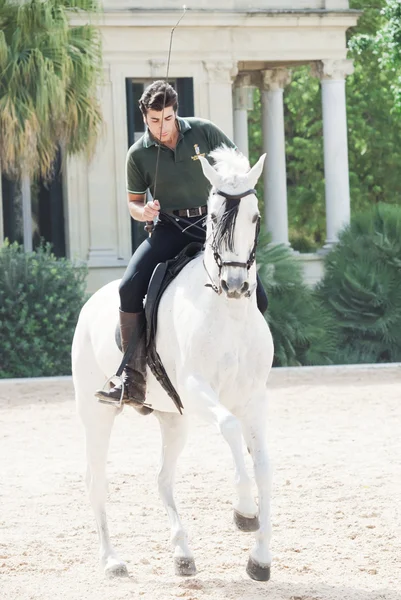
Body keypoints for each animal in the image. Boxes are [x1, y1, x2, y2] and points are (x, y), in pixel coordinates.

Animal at [70, 146, 274, 580]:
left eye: (255, 217)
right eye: (213, 217)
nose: (235, 286)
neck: (228, 313)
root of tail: (91, 302)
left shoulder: (253, 399)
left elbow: (264, 467)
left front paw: (260, 557)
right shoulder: (198, 391)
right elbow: (230, 429)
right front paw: (244, 513)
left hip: (173, 417)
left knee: (163, 478)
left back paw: (182, 552)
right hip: (97, 415)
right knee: (96, 480)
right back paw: (112, 560)